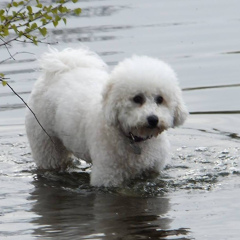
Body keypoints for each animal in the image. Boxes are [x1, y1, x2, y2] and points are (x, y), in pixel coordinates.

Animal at [25, 47, 188, 187]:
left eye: (160, 99)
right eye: (137, 98)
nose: (153, 119)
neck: (135, 140)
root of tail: (63, 67)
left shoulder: (153, 171)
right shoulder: (107, 176)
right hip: (45, 142)